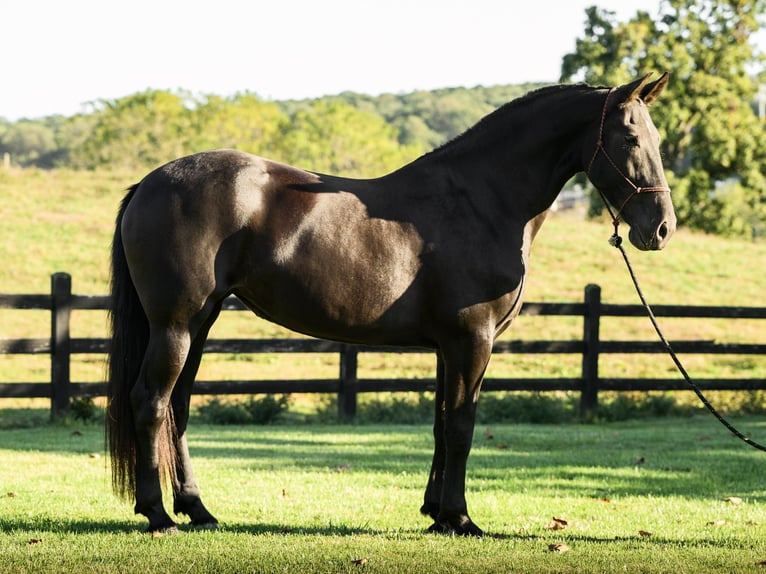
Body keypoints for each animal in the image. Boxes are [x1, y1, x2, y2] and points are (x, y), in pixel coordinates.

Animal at [107, 73, 676, 536]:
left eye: (657, 139)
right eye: (630, 138)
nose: (661, 229)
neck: (481, 200)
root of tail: (149, 183)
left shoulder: (450, 346)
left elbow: (443, 424)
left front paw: (436, 513)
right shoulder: (472, 340)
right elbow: (462, 426)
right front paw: (461, 519)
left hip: (200, 324)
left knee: (178, 408)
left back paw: (197, 510)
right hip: (176, 325)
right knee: (151, 402)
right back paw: (158, 515)